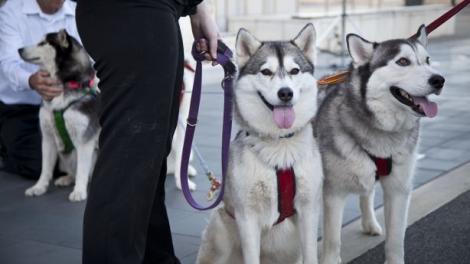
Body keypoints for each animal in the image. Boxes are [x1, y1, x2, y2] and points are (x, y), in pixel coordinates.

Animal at [19, 29, 99, 202]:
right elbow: (45, 169)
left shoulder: (85, 140)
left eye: (42, 43)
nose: (19, 49)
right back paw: (67, 178)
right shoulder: (47, 138)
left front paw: (79, 191)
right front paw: (39, 187)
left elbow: (83, 169)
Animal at [196, 23, 324, 264]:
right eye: (266, 72)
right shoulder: (247, 216)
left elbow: (312, 254)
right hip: (220, 225)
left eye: (294, 71)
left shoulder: (309, 209)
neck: (280, 146)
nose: (285, 93)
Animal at [316, 25, 444, 264]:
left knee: (367, 194)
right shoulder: (334, 191)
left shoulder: (399, 189)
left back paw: (370, 224)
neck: (384, 133)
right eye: (403, 61)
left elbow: (396, 238)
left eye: (428, 60)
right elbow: (332, 240)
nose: (439, 80)